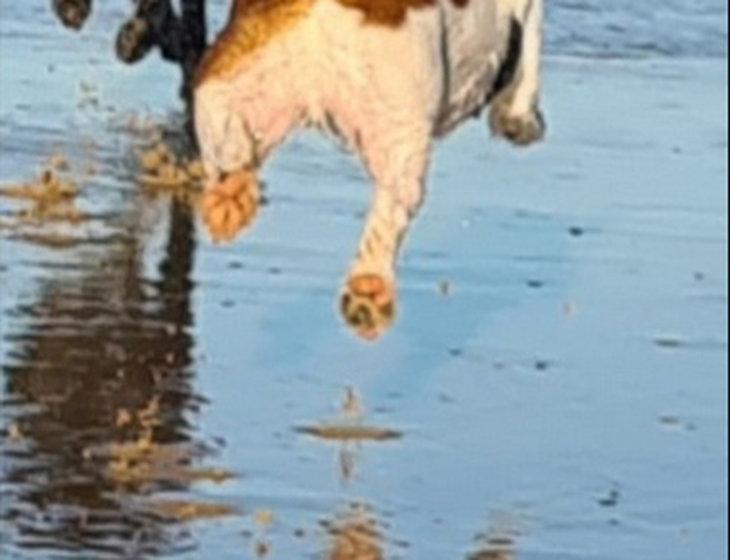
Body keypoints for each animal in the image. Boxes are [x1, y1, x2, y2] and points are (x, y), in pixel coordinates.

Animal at [192, 0, 540, 340]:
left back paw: (230, 198)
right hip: (401, 117)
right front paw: (520, 119)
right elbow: (531, 48)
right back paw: (369, 291)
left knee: (224, 133)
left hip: (237, 77)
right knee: (392, 210)